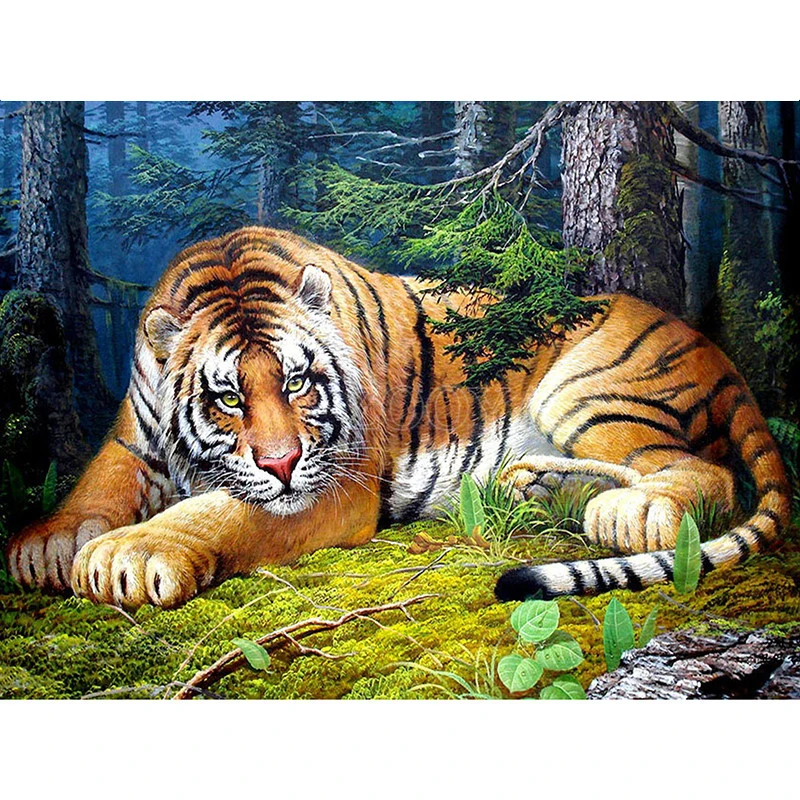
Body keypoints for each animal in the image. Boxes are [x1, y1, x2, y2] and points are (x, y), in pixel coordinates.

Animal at [6, 227, 791, 608]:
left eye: (298, 383)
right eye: (228, 397)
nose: (281, 462)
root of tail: (714, 349)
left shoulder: (335, 483)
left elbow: (218, 511)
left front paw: (130, 555)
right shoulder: (132, 438)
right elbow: (99, 483)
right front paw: (44, 546)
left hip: (590, 385)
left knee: (703, 472)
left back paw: (628, 513)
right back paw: (540, 486)